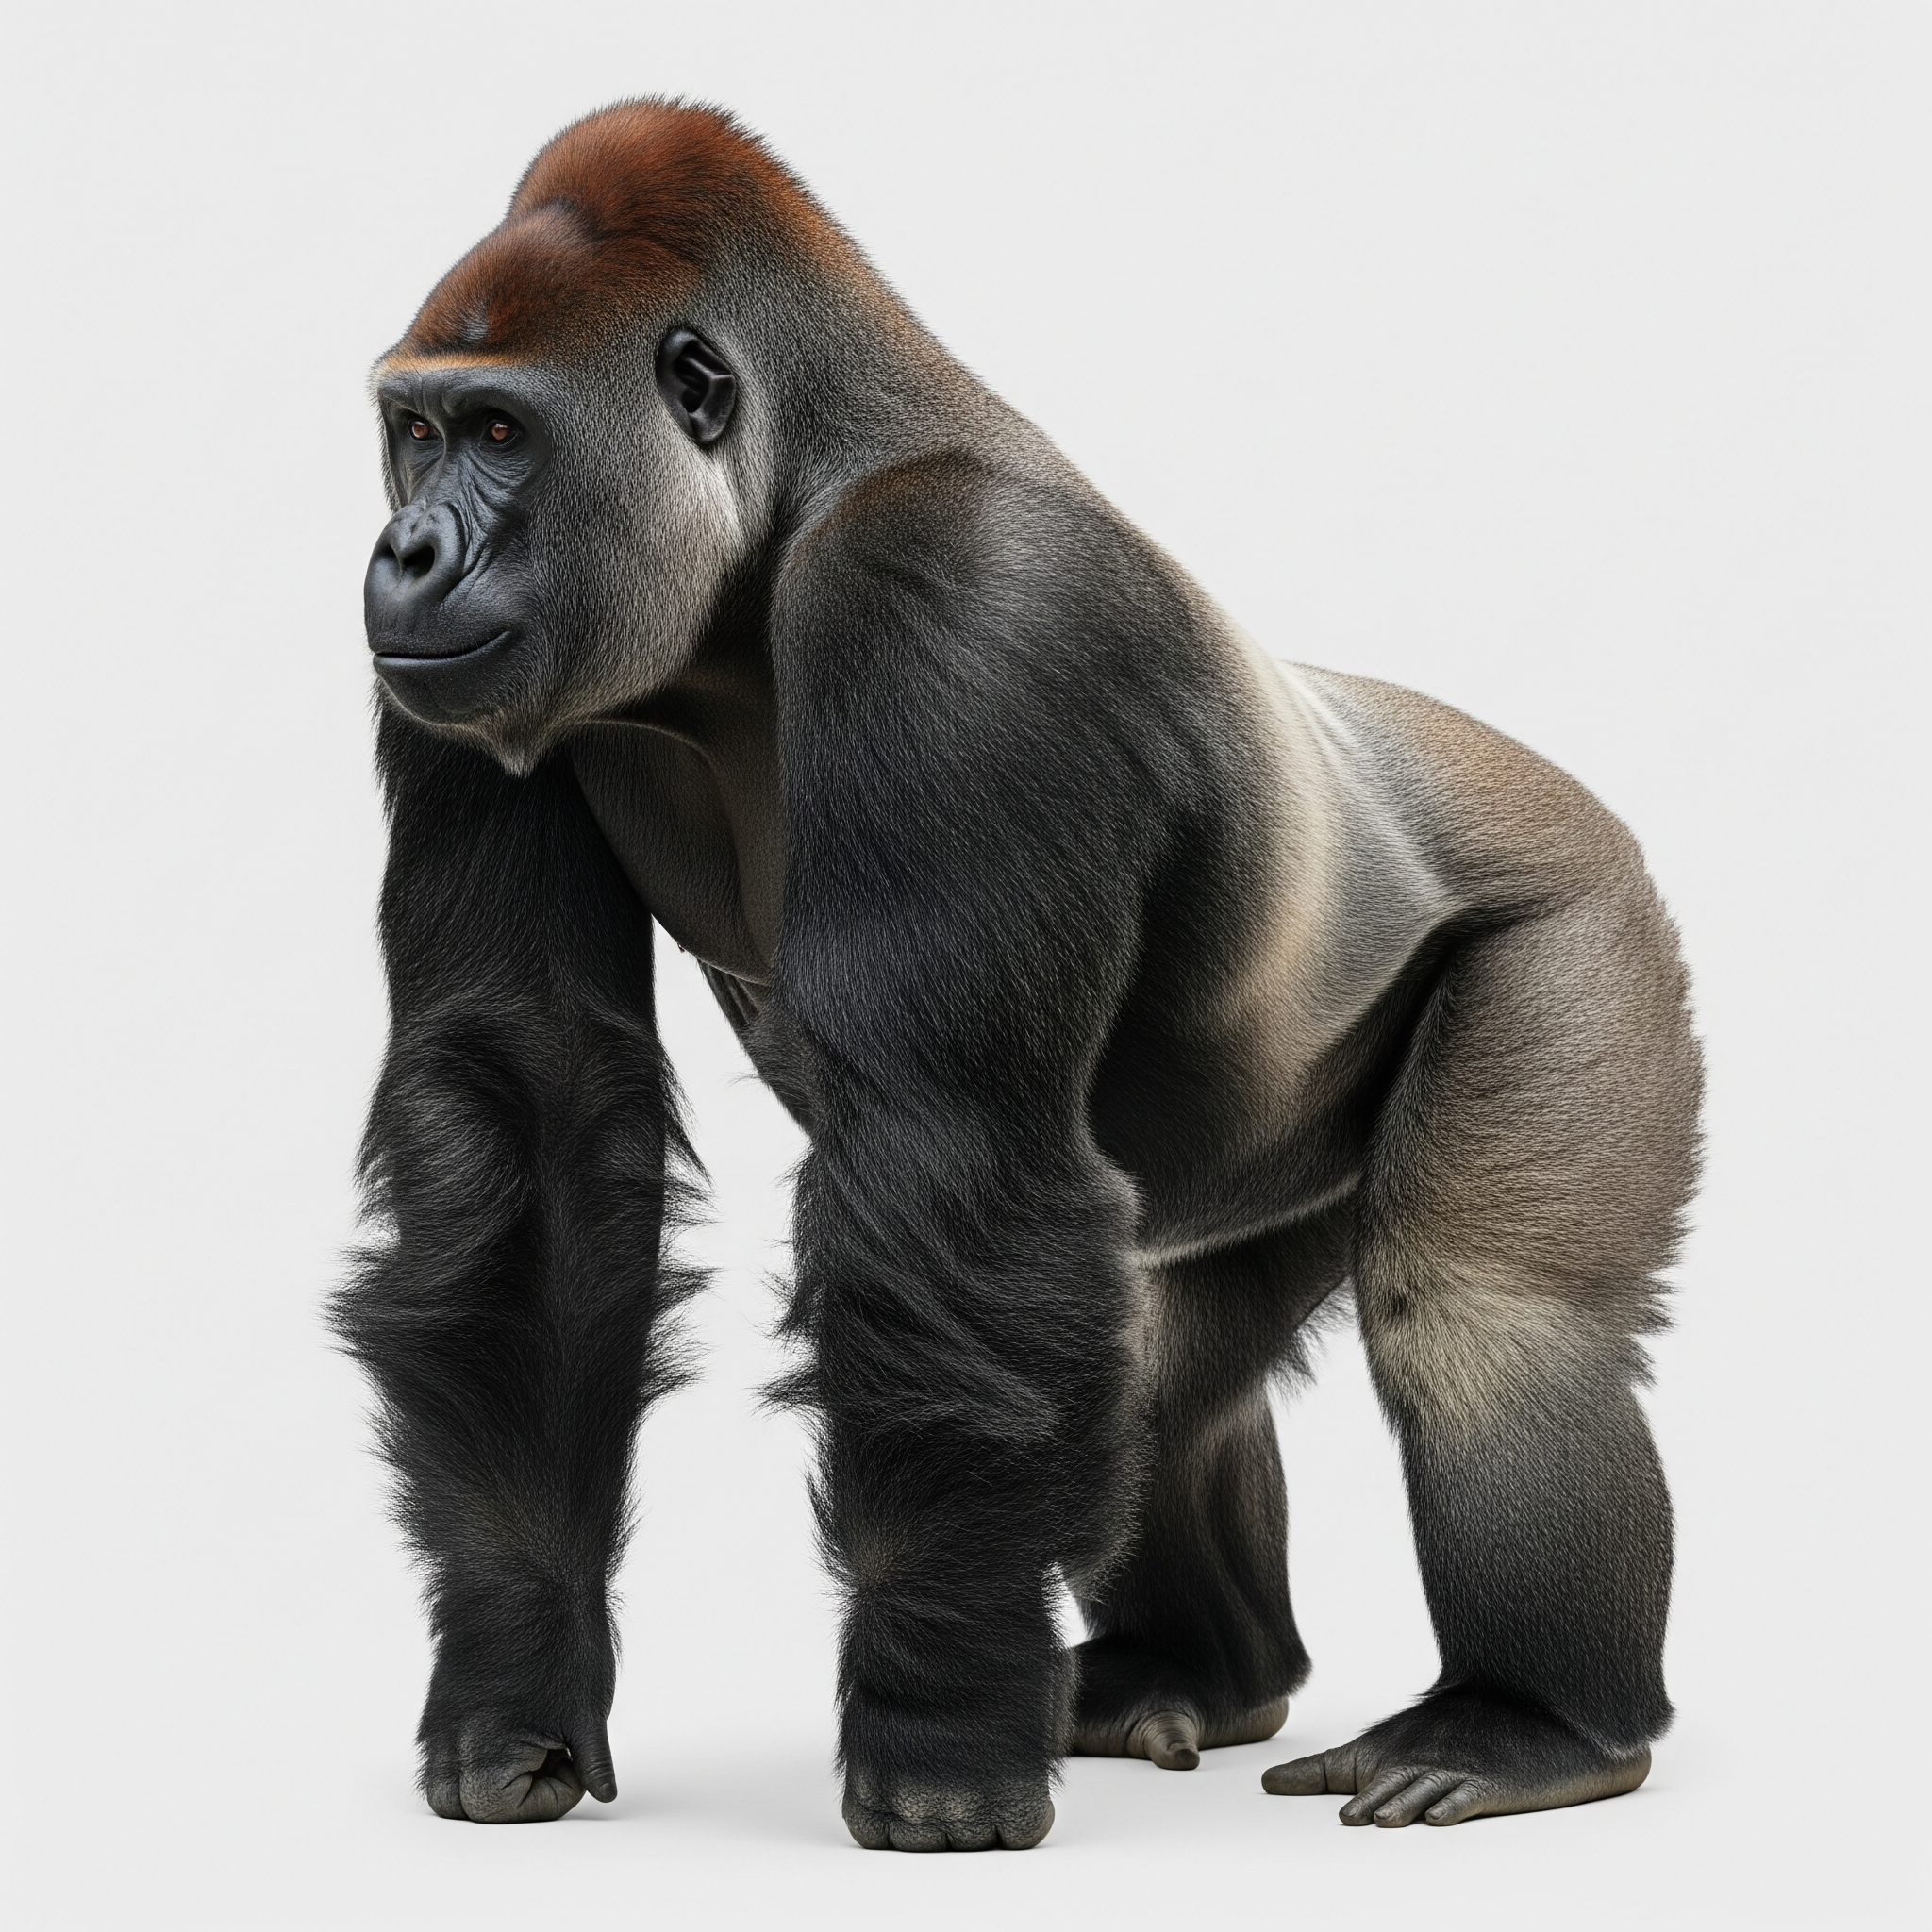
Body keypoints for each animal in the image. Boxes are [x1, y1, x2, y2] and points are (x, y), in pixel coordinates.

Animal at [336, 100, 1700, 1850]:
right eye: (413, 431)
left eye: (501, 433)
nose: (405, 550)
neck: (784, 498)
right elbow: (534, 1107)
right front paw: (517, 1669)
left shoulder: (958, 598)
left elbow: (946, 1148)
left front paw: (934, 1732)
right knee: (1158, 1352)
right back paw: (1189, 1667)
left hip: (1583, 908)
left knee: (1486, 1313)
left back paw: (1536, 1721)